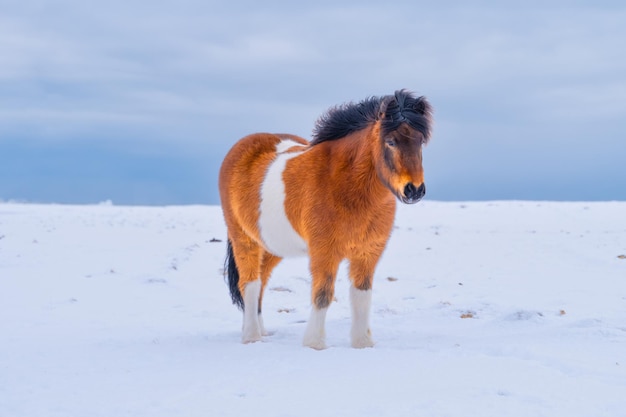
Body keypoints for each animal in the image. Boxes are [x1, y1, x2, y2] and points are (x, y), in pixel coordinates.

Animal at [218, 88, 428, 348]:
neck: (344, 185)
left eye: (421, 141)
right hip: (243, 239)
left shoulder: (368, 252)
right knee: (249, 283)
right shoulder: (324, 252)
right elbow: (322, 294)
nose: (414, 190)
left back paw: (261, 331)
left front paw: (362, 343)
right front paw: (315, 343)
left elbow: (361, 296)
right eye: (390, 141)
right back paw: (251, 337)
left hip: (272, 246)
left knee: (262, 282)